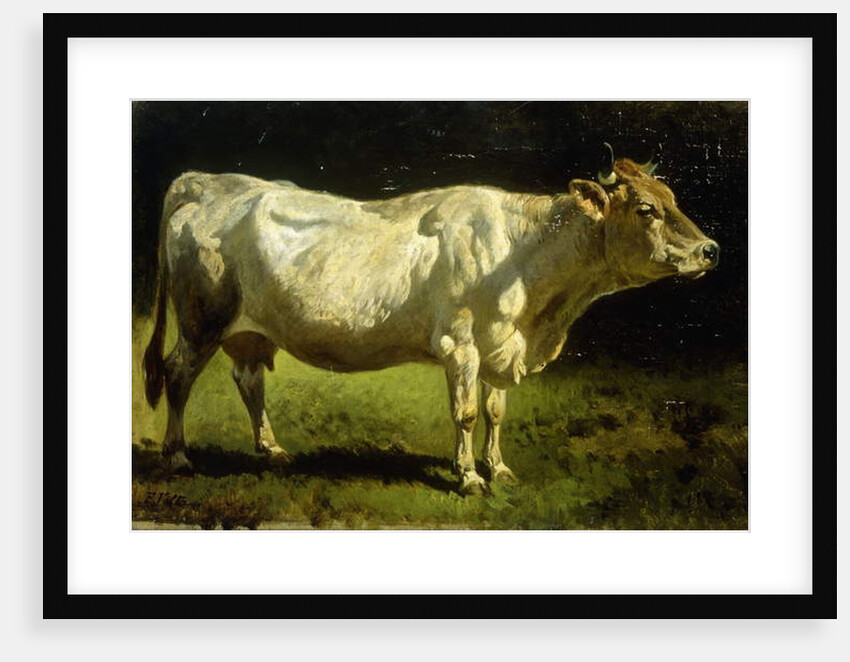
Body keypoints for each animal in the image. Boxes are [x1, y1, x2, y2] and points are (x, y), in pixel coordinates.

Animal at [143, 146, 719, 494]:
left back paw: (272, 450)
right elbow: (465, 413)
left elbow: (495, 411)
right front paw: (467, 477)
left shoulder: (498, 345)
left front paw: (500, 469)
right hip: (201, 319)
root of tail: (209, 181)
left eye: (673, 199)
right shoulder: (460, 343)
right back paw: (177, 457)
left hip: (246, 330)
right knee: (177, 374)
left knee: (248, 381)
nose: (710, 250)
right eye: (646, 209)